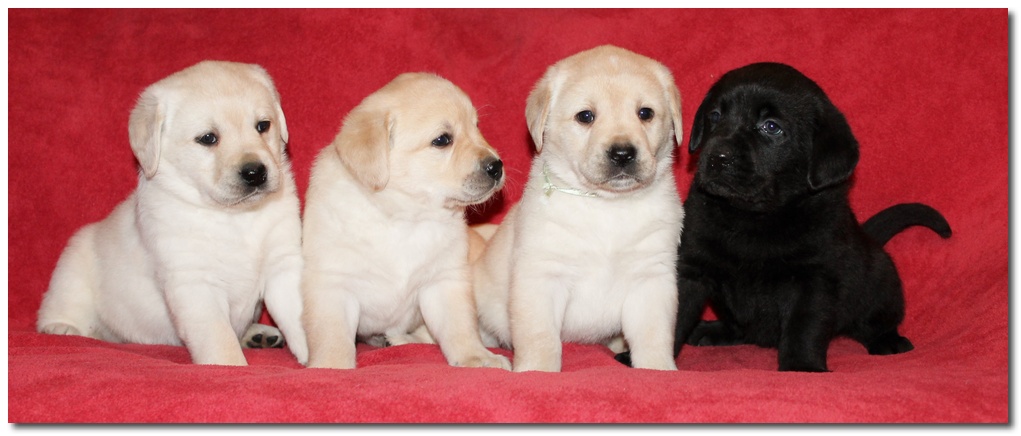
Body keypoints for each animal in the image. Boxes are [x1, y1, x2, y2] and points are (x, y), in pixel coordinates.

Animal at [37, 60, 308, 365]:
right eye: (208, 138)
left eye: (263, 125)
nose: (255, 172)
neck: (234, 216)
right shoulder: (193, 282)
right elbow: (219, 338)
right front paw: (231, 367)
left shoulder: (283, 264)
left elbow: (299, 315)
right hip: (73, 263)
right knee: (64, 306)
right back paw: (62, 328)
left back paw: (257, 334)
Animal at [301, 72, 511, 370]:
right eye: (442, 140)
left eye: (477, 127)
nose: (497, 166)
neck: (403, 215)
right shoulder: (332, 284)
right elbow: (332, 336)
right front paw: (331, 367)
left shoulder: (444, 280)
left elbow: (460, 327)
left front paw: (476, 357)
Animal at [472, 45, 685, 372]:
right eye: (585, 116)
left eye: (645, 113)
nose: (622, 153)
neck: (607, 206)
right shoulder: (541, 276)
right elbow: (539, 336)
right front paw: (536, 370)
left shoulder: (651, 277)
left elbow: (654, 335)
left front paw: (658, 370)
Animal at [670, 62, 951, 372]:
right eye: (715, 116)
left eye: (771, 127)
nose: (717, 156)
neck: (754, 218)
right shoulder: (691, 267)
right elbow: (673, 313)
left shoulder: (814, 279)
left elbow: (803, 327)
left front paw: (801, 368)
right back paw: (712, 330)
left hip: (882, 282)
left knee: (875, 321)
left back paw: (888, 340)